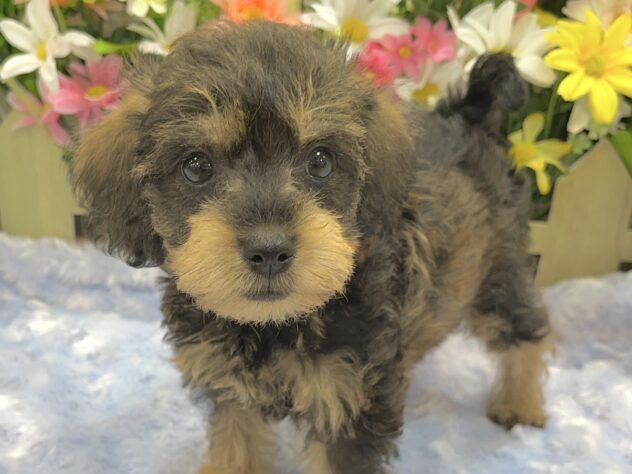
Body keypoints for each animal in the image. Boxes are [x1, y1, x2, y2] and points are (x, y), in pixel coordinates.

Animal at [71, 21, 553, 474]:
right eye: (196, 166)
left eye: (320, 161)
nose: (269, 250)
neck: (274, 325)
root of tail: (471, 116)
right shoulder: (228, 384)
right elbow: (235, 443)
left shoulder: (350, 399)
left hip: (500, 270)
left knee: (526, 329)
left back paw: (520, 404)